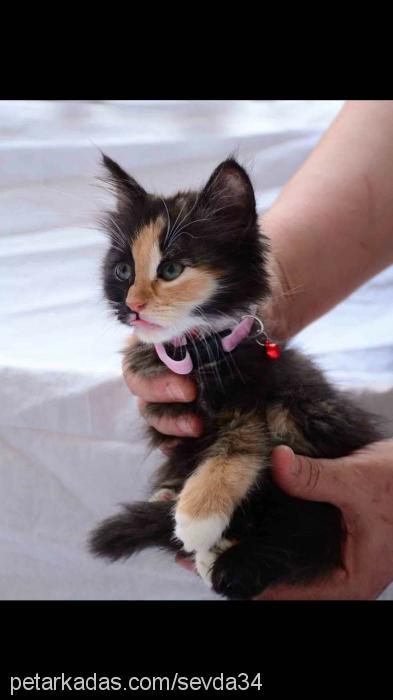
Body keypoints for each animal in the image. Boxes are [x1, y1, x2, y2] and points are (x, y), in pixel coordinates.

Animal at [89, 156, 380, 600]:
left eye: (171, 269)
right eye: (123, 270)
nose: (133, 305)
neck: (195, 351)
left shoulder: (262, 392)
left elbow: (242, 440)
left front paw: (197, 515)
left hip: (306, 412)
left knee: (309, 525)